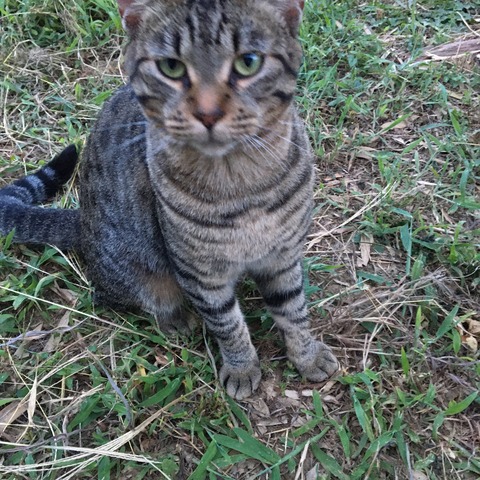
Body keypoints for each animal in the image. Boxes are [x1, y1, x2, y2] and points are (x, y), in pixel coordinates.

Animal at [0, 0, 338, 400]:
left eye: (248, 62)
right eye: (171, 67)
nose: (208, 113)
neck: (242, 182)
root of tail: (81, 219)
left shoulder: (283, 257)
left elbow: (293, 309)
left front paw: (307, 354)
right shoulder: (199, 273)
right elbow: (228, 324)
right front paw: (242, 367)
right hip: (138, 271)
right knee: (117, 297)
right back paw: (174, 318)